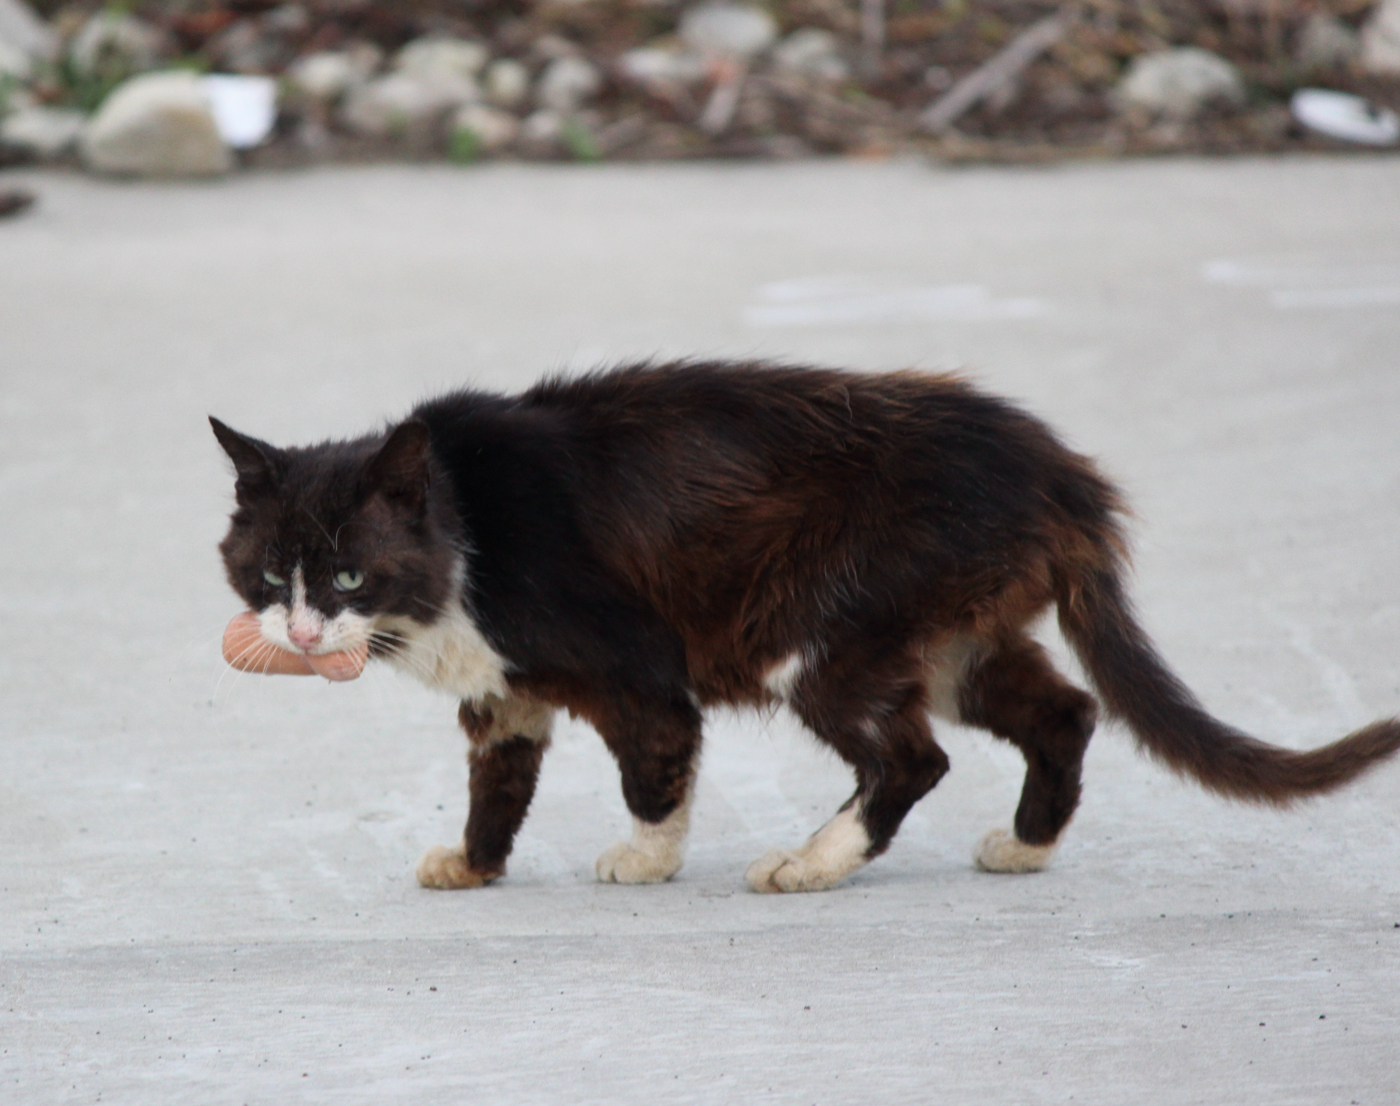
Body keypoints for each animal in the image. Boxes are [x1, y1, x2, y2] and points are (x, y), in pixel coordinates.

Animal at [207, 358, 1400, 896]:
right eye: (268, 572)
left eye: (350, 575)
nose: (302, 633)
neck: (464, 540)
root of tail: (1060, 472)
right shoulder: (503, 693)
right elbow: (498, 780)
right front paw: (473, 861)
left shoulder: (634, 667)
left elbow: (656, 764)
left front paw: (645, 860)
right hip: (953, 637)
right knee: (1062, 710)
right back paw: (1026, 842)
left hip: (817, 630)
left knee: (911, 757)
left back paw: (814, 861)